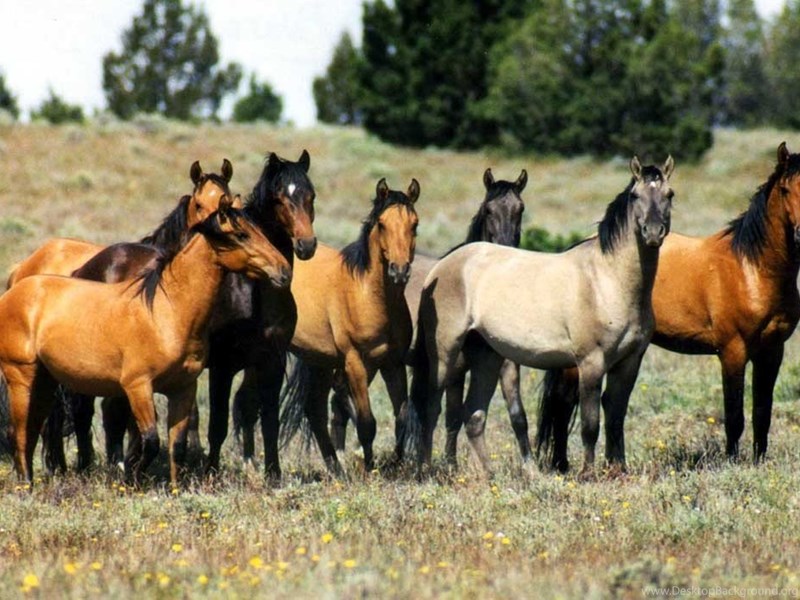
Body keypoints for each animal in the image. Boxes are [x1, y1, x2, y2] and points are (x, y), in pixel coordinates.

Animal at [0, 197, 291, 485]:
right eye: (241, 235)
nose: (284, 271)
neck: (167, 311)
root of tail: (16, 286)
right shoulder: (138, 386)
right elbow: (150, 441)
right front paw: (131, 479)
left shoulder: (183, 388)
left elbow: (177, 445)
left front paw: (174, 488)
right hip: (22, 377)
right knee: (21, 431)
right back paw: (27, 483)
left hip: (45, 381)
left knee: (34, 428)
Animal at [279, 178, 420, 476]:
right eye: (382, 224)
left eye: (414, 224)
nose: (399, 271)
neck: (367, 294)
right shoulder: (354, 362)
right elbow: (367, 422)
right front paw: (370, 470)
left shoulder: (392, 363)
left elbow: (401, 417)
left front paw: (396, 465)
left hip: (319, 360)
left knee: (315, 410)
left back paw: (336, 469)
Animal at [325, 168, 529, 465]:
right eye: (489, 209)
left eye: (520, 209)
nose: (504, 250)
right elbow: (439, 413)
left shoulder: (497, 365)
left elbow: (510, 417)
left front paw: (453, 463)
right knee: (340, 403)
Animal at [410, 156, 675, 476]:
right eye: (636, 196)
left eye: (669, 194)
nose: (653, 232)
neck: (606, 281)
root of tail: (439, 269)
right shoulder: (591, 362)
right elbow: (591, 425)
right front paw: (588, 473)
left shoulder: (629, 362)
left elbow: (615, 417)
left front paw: (618, 470)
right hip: (446, 354)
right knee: (431, 408)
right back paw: (426, 470)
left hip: (486, 356)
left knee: (473, 415)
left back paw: (489, 476)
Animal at [537, 141, 800, 472]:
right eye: (786, 190)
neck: (752, 270)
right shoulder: (733, 352)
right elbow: (734, 416)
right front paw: (732, 463)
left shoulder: (772, 352)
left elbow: (762, 414)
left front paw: (759, 462)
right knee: (564, 403)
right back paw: (562, 465)